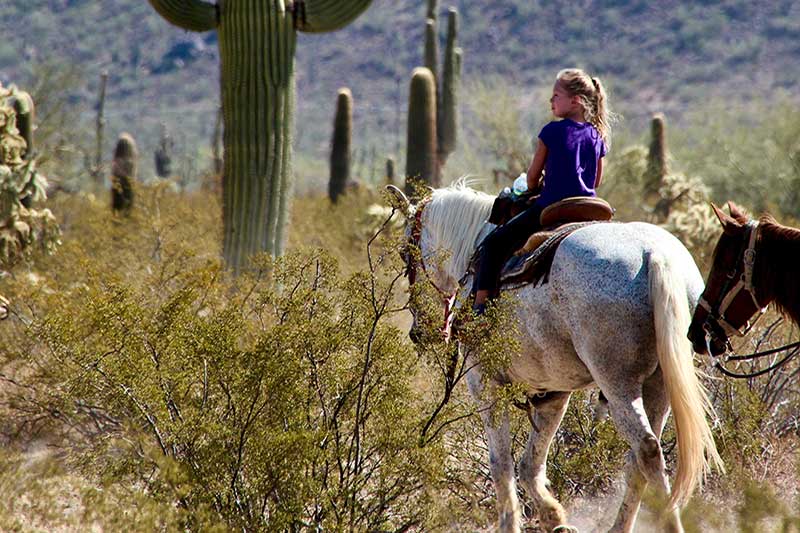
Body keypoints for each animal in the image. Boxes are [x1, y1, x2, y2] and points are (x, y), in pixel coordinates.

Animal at [390, 183, 724, 532]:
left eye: (405, 254)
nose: (420, 332)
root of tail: (656, 256)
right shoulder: (552, 392)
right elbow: (530, 464)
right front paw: (553, 518)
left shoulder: (485, 384)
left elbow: (501, 465)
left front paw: (513, 522)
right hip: (659, 385)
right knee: (640, 460)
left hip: (618, 383)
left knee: (645, 450)